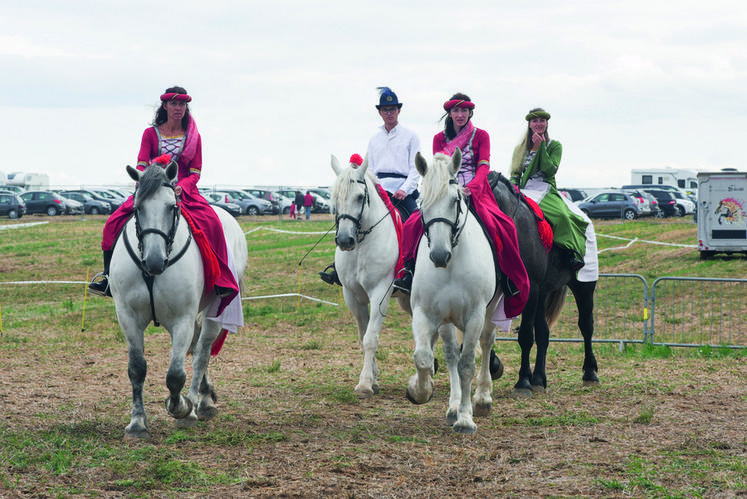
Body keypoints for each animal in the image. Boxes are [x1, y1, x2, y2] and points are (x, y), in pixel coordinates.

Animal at [110, 162, 248, 440]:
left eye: (171, 207)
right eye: (137, 208)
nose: (154, 262)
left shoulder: (182, 319)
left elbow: (175, 375)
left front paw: (182, 409)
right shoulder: (127, 317)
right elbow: (136, 368)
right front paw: (137, 423)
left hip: (214, 311)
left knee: (202, 352)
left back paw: (198, 404)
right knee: (196, 348)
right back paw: (204, 396)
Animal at [328, 154, 410, 400]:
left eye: (360, 196)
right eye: (335, 198)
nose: (345, 241)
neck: (362, 245)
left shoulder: (380, 293)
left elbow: (371, 338)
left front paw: (364, 384)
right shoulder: (352, 296)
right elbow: (362, 336)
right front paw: (373, 379)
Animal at [406, 150, 500, 436]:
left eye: (455, 200)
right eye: (422, 202)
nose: (439, 255)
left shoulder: (475, 315)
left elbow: (467, 364)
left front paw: (466, 419)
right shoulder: (425, 314)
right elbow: (424, 357)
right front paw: (419, 390)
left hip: (491, 312)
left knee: (486, 343)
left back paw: (482, 399)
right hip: (446, 320)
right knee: (450, 355)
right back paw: (453, 406)